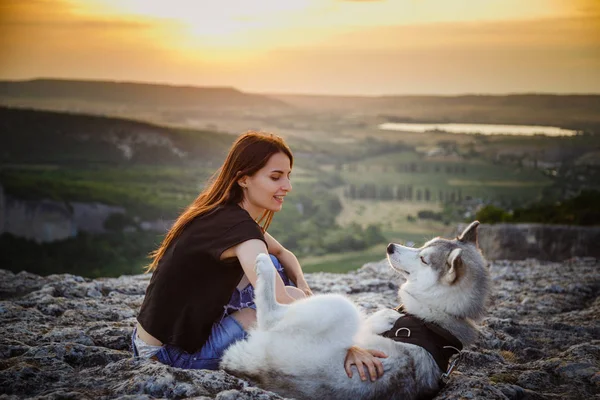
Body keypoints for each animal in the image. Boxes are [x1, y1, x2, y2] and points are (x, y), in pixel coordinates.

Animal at [223, 222, 490, 400]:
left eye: (424, 259)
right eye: (422, 247)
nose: (390, 246)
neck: (433, 316)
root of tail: (253, 367)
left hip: (341, 307)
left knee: (269, 314)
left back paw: (264, 264)